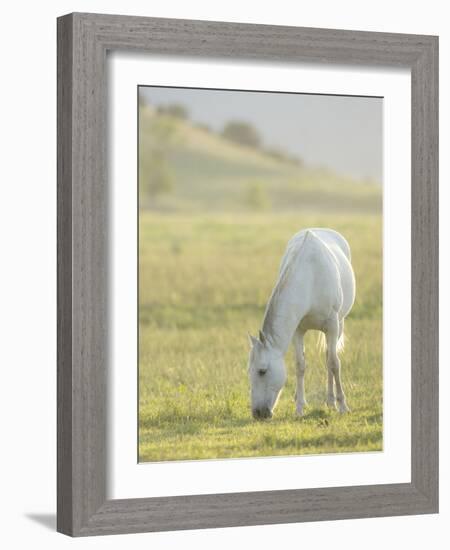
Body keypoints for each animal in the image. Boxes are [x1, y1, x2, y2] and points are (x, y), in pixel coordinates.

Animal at [250, 231, 356, 420]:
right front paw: (299, 407)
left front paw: (343, 405)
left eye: (262, 371)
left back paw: (332, 401)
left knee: (329, 357)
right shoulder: (297, 330)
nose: (257, 413)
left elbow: (334, 363)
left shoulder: (332, 325)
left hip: (339, 324)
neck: (310, 277)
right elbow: (300, 365)